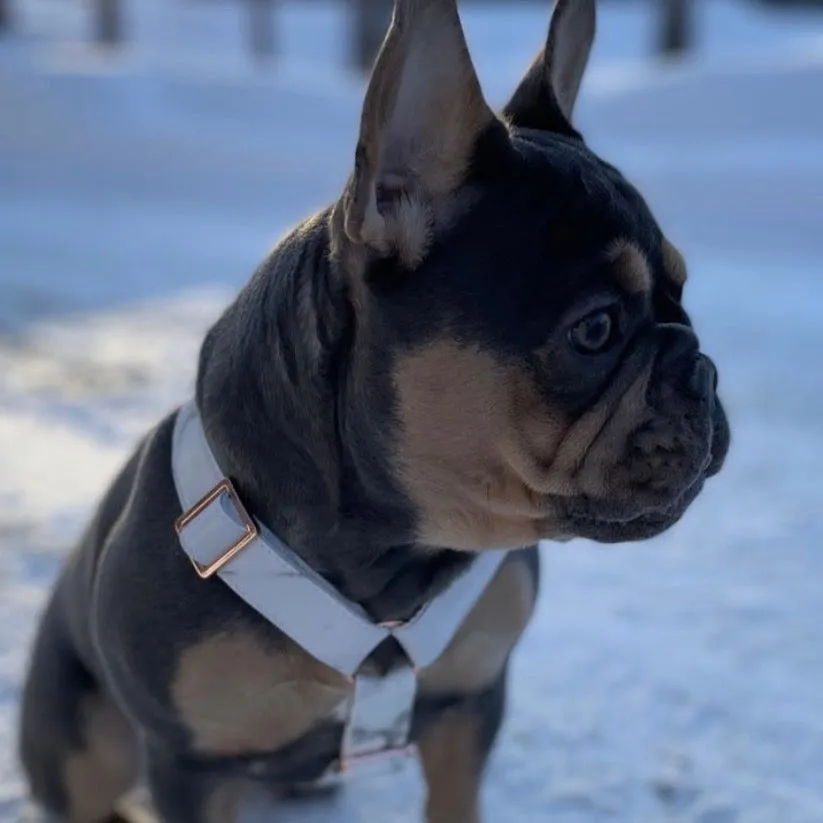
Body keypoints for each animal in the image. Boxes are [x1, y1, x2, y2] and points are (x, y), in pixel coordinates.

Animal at [17, 0, 728, 820]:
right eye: (596, 329)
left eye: (682, 291)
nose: (700, 367)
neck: (393, 558)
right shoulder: (193, 766)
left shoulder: (468, 706)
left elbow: (454, 801)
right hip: (85, 742)